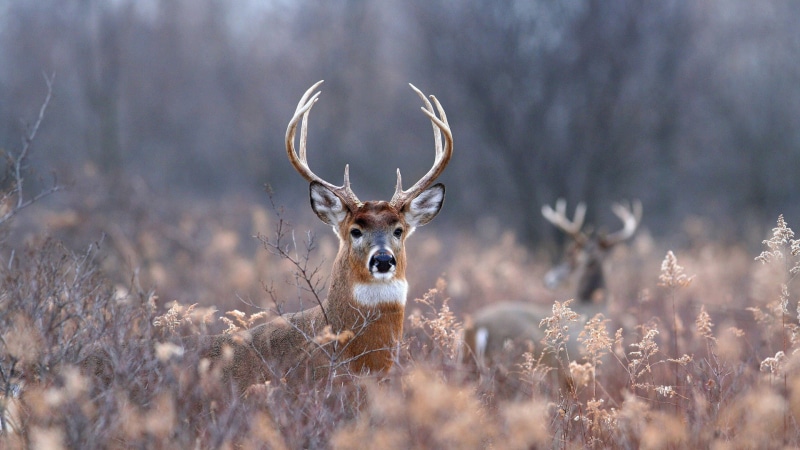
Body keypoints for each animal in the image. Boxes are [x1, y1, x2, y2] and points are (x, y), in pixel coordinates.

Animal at [462, 199, 641, 392]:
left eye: (571, 257)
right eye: (570, 253)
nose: (549, 279)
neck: (594, 306)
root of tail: (477, 327)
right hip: (514, 363)